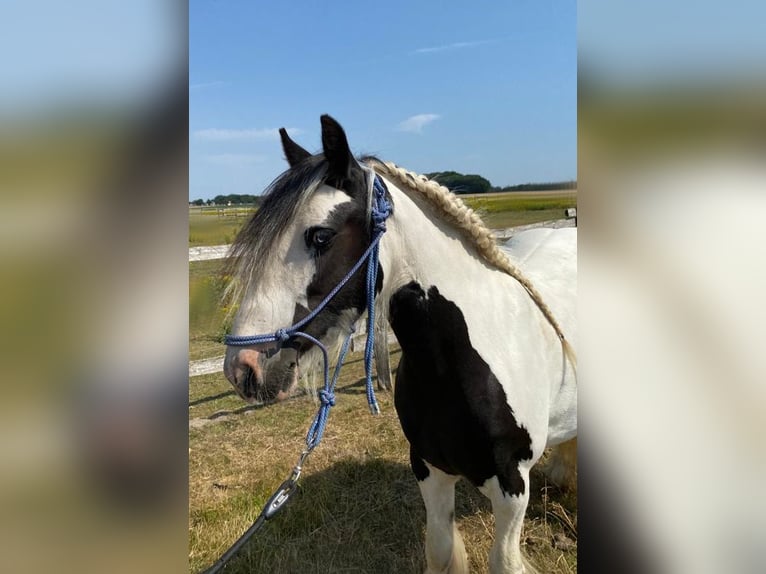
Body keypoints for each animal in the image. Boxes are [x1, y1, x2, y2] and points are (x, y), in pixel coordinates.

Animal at [222, 115, 576, 572]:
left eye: (320, 236)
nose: (243, 368)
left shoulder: (513, 490)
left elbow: (503, 561)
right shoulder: (428, 469)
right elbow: (440, 550)